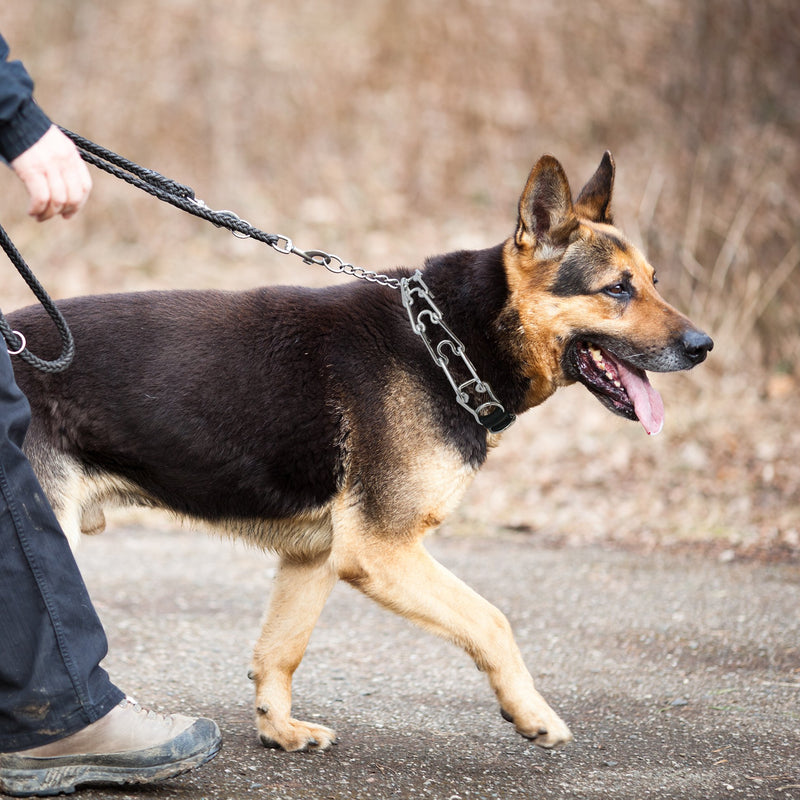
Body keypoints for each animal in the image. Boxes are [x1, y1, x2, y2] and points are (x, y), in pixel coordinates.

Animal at [9, 155, 712, 752]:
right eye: (617, 290)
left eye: (654, 282)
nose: (704, 346)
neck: (448, 342)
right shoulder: (382, 549)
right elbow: (492, 621)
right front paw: (531, 712)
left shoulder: (316, 556)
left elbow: (280, 652)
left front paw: (279, 731)